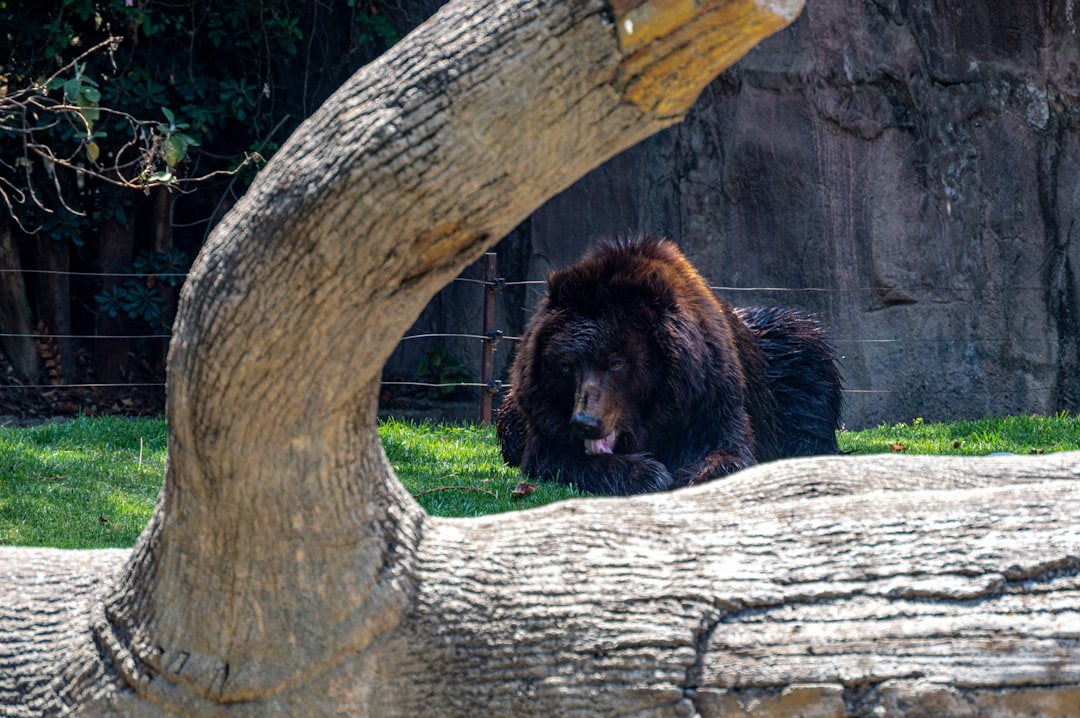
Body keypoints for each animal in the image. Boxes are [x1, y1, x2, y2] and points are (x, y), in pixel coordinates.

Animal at [496, 232, 842, 496]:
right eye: (567, 364)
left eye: (616, 363)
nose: (586, 422)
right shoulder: (545, 417)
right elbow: (554, 456)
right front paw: (648, 473)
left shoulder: (710, 395)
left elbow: (730, 450)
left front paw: (689, 475)